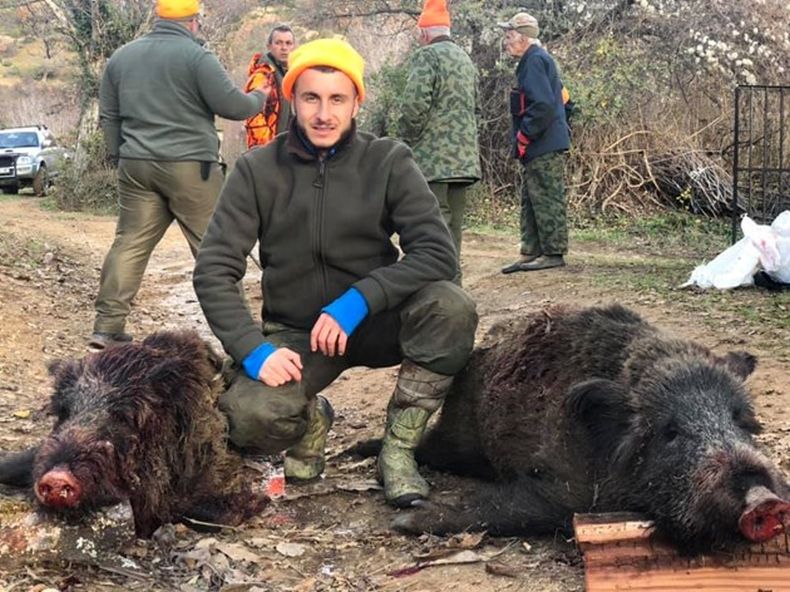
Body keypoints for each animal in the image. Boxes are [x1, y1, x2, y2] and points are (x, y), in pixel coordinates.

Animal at [390, 304, 790, 554]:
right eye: (670, 432)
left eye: (740, 419)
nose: (765, 500)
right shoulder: (561, 488)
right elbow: (517, 509)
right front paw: (405, 519)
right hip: (457, 437)